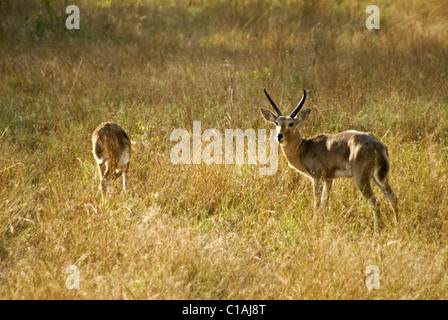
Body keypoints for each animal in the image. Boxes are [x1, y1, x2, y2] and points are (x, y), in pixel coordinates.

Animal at [260, 89, 398, 231]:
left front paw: (315, 226)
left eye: (291, 123)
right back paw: (398, 227)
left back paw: (377, 231)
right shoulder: (329, 180)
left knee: (375, 202)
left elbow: (317, 204)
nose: (279, 136)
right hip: (380, 178)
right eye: (277, 123)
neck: (305, 148)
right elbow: (325, 204)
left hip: (361, 180)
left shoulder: (316, 178)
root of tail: (377, 145)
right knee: (393, 199)